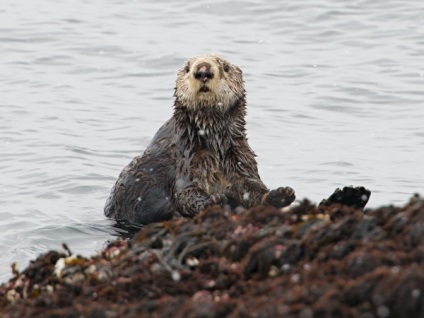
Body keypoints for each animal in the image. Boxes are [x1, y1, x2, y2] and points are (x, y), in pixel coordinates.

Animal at [103, 54, 294, 224]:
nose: (203, 70)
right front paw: (214, 201)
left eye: (225, 67)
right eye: (188, 68)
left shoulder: (239, 157)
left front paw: (281, 194)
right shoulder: (188, 158)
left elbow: (250, 186)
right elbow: (186, 192)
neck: (216, 144)